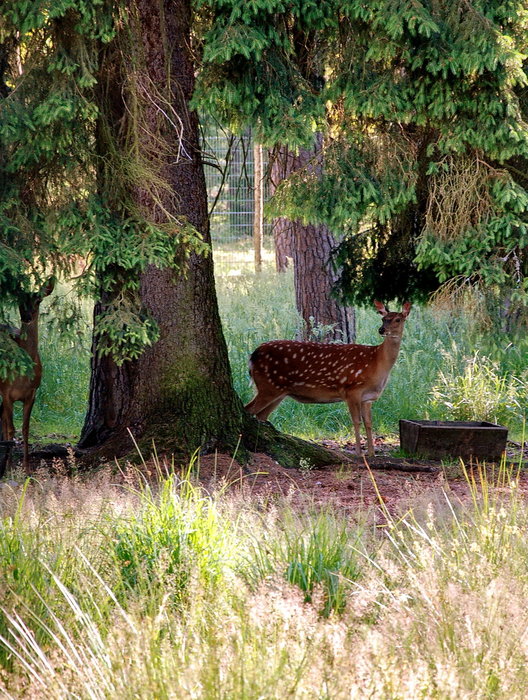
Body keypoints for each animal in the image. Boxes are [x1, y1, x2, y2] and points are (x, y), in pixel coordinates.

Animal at [0, 282, 54, 474]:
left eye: (38, 300)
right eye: (19, 299)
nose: (27, 316)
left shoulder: (32, 393)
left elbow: (25, 429)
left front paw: (27, 467)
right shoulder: (6, 391)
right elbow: (11, 429)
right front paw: (9, 467)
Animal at [245, 298, 410, 456]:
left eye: (398, 319)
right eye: (383, 319)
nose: (381, 329)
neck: (376, 362)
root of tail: (253, 355)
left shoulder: (367, 398)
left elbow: (369, 423)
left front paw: (372, 454)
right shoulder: (351, 390)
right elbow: (356, 421)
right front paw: (359, 453)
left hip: (278, 391)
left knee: (261, 415)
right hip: (268, 386)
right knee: (249, 410)